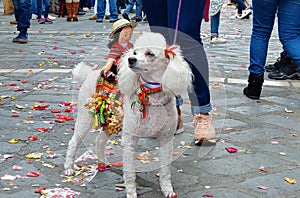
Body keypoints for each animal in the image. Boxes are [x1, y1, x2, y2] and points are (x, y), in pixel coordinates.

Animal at [63, 31, 192, 197]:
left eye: (150, 53)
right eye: (135, 52)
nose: (131, 60)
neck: (150, 95)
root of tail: (89, 74)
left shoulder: (166, 139)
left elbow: (165, 171)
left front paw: (167, 190)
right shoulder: (130, 140)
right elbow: (130, 173)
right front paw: (131, 193)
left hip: (112, 121)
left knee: (100, 140)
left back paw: (102, 162)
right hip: (86, 117)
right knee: (74, 142)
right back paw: (68, 168)